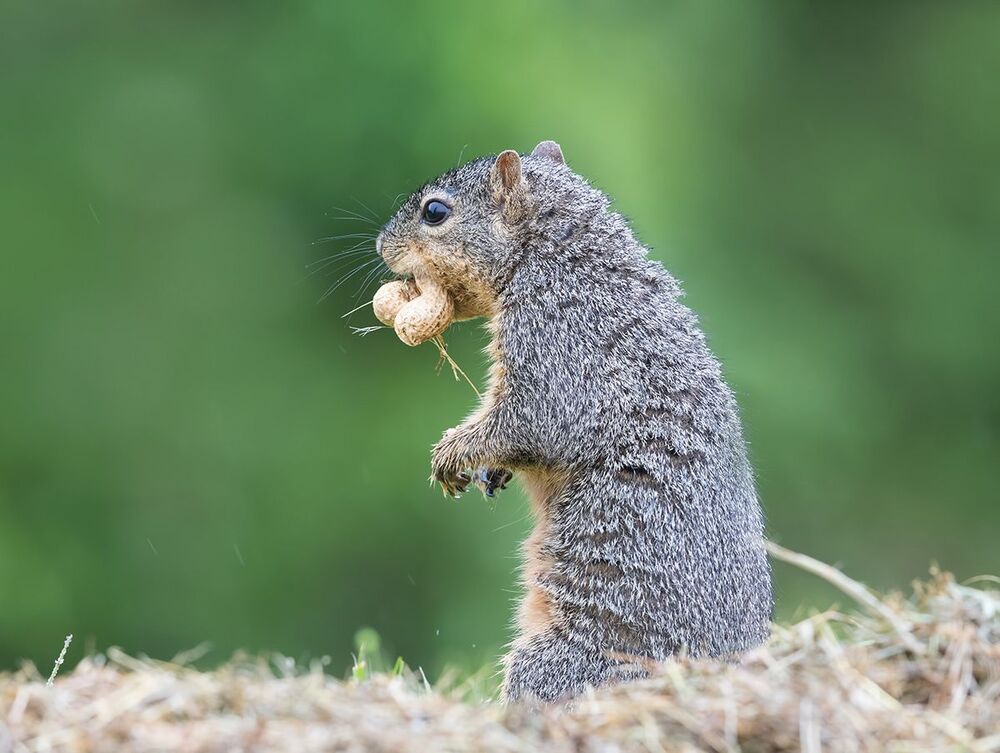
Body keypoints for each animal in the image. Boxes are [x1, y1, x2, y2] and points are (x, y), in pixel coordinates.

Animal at [375, 141, 773, 703]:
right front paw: (491, 470)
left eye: (435, 212)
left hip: (564, 663)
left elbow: (528, 423)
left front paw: (452, 453)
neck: (556, 251)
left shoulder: (558, 342)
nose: (381, 246)